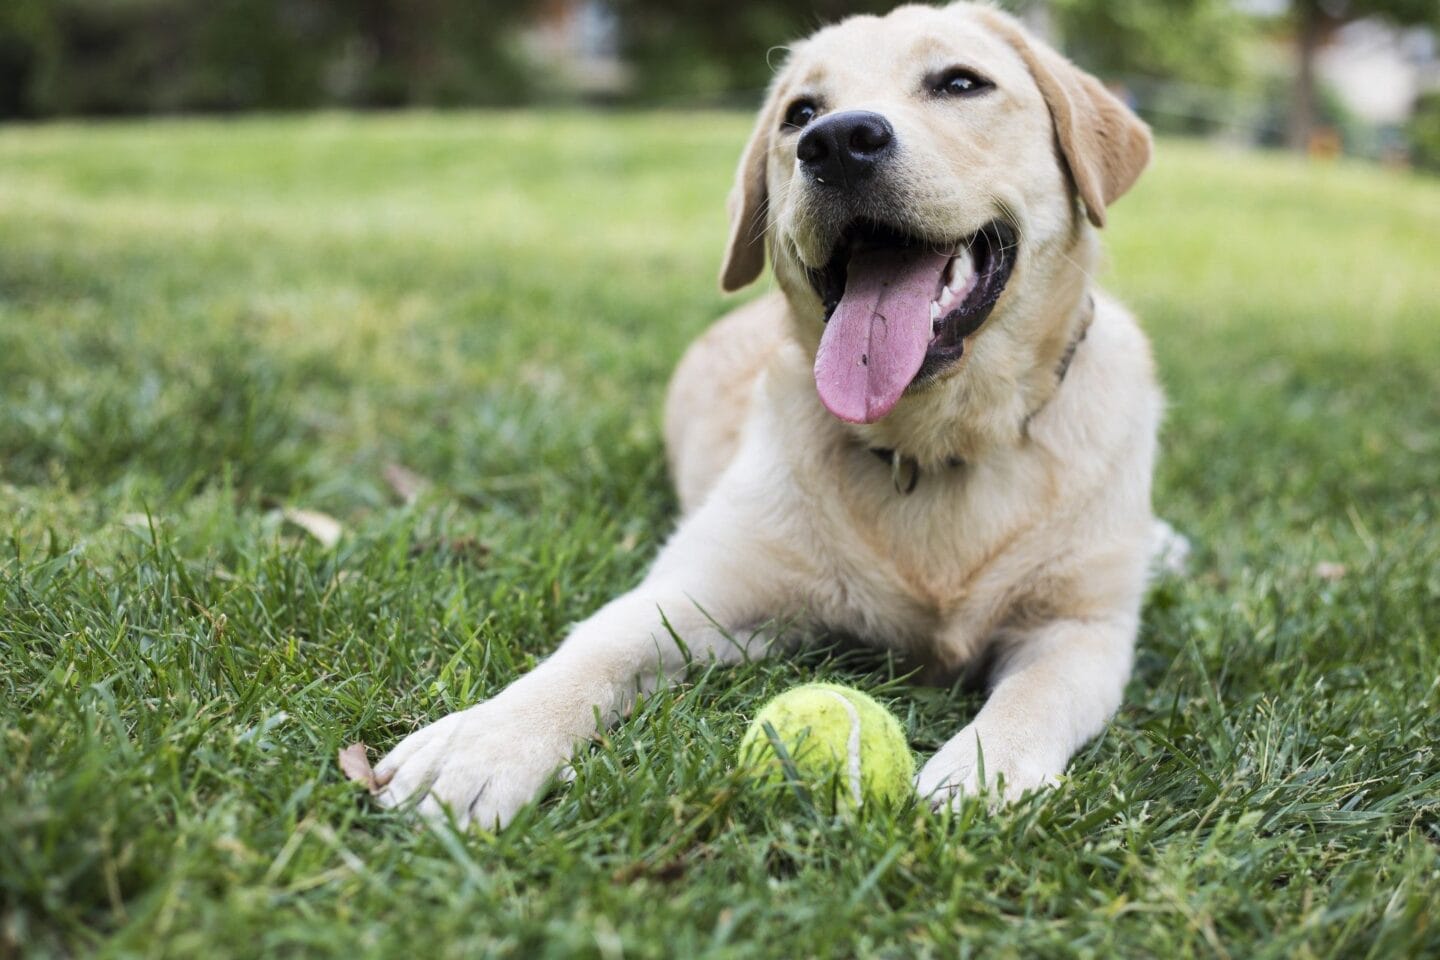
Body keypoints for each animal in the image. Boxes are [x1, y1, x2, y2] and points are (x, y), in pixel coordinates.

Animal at [368, 0, 1157, 829]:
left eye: (960, 83)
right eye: (799, 114)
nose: (837, 142)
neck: (930, 444)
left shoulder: (1083, 631)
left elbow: (1037, 694)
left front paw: (984, 772)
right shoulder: (709, 593)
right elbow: (596, 646)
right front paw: (484, 741)